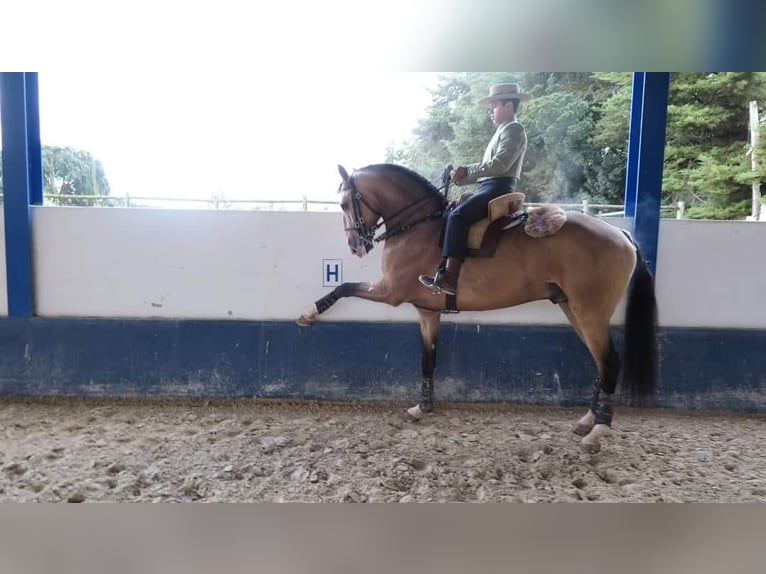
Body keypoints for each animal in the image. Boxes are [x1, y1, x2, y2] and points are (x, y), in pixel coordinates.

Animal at [300, 163, 660, 454]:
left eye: (345, 203)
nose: (355, 246)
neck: (419, 226)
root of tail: (621, 232)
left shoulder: (390, 291)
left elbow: (345, 287)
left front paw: (310, 314)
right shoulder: (427, 310)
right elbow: (428, 359)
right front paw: (423, 407)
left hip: (589, 312)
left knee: (609, 361)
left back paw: (598, 431)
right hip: (573, 310)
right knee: (600, 362)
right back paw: (587, 420)